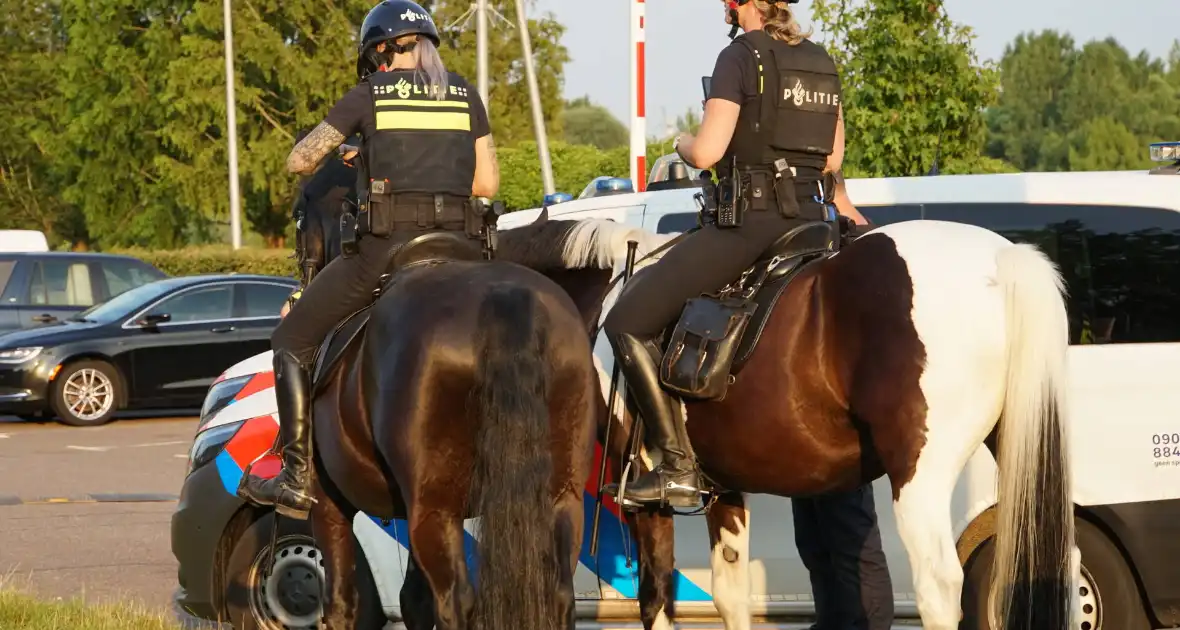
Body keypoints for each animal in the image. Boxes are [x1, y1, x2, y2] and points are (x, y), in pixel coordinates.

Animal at [290, 210, 604, 627]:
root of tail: (504, 297)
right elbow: (413, 599)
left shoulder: (329, 501)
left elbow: (341, 603)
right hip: (559, 496)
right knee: (557, 592)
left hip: (435, 510)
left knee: (454, 600)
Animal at [495, 217, 1080, 630]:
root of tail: (1003, 257)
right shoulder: (724, 486)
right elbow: (730, 595)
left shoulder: (641, 490)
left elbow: (655, 598)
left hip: (920, 476)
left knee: (938, 586)